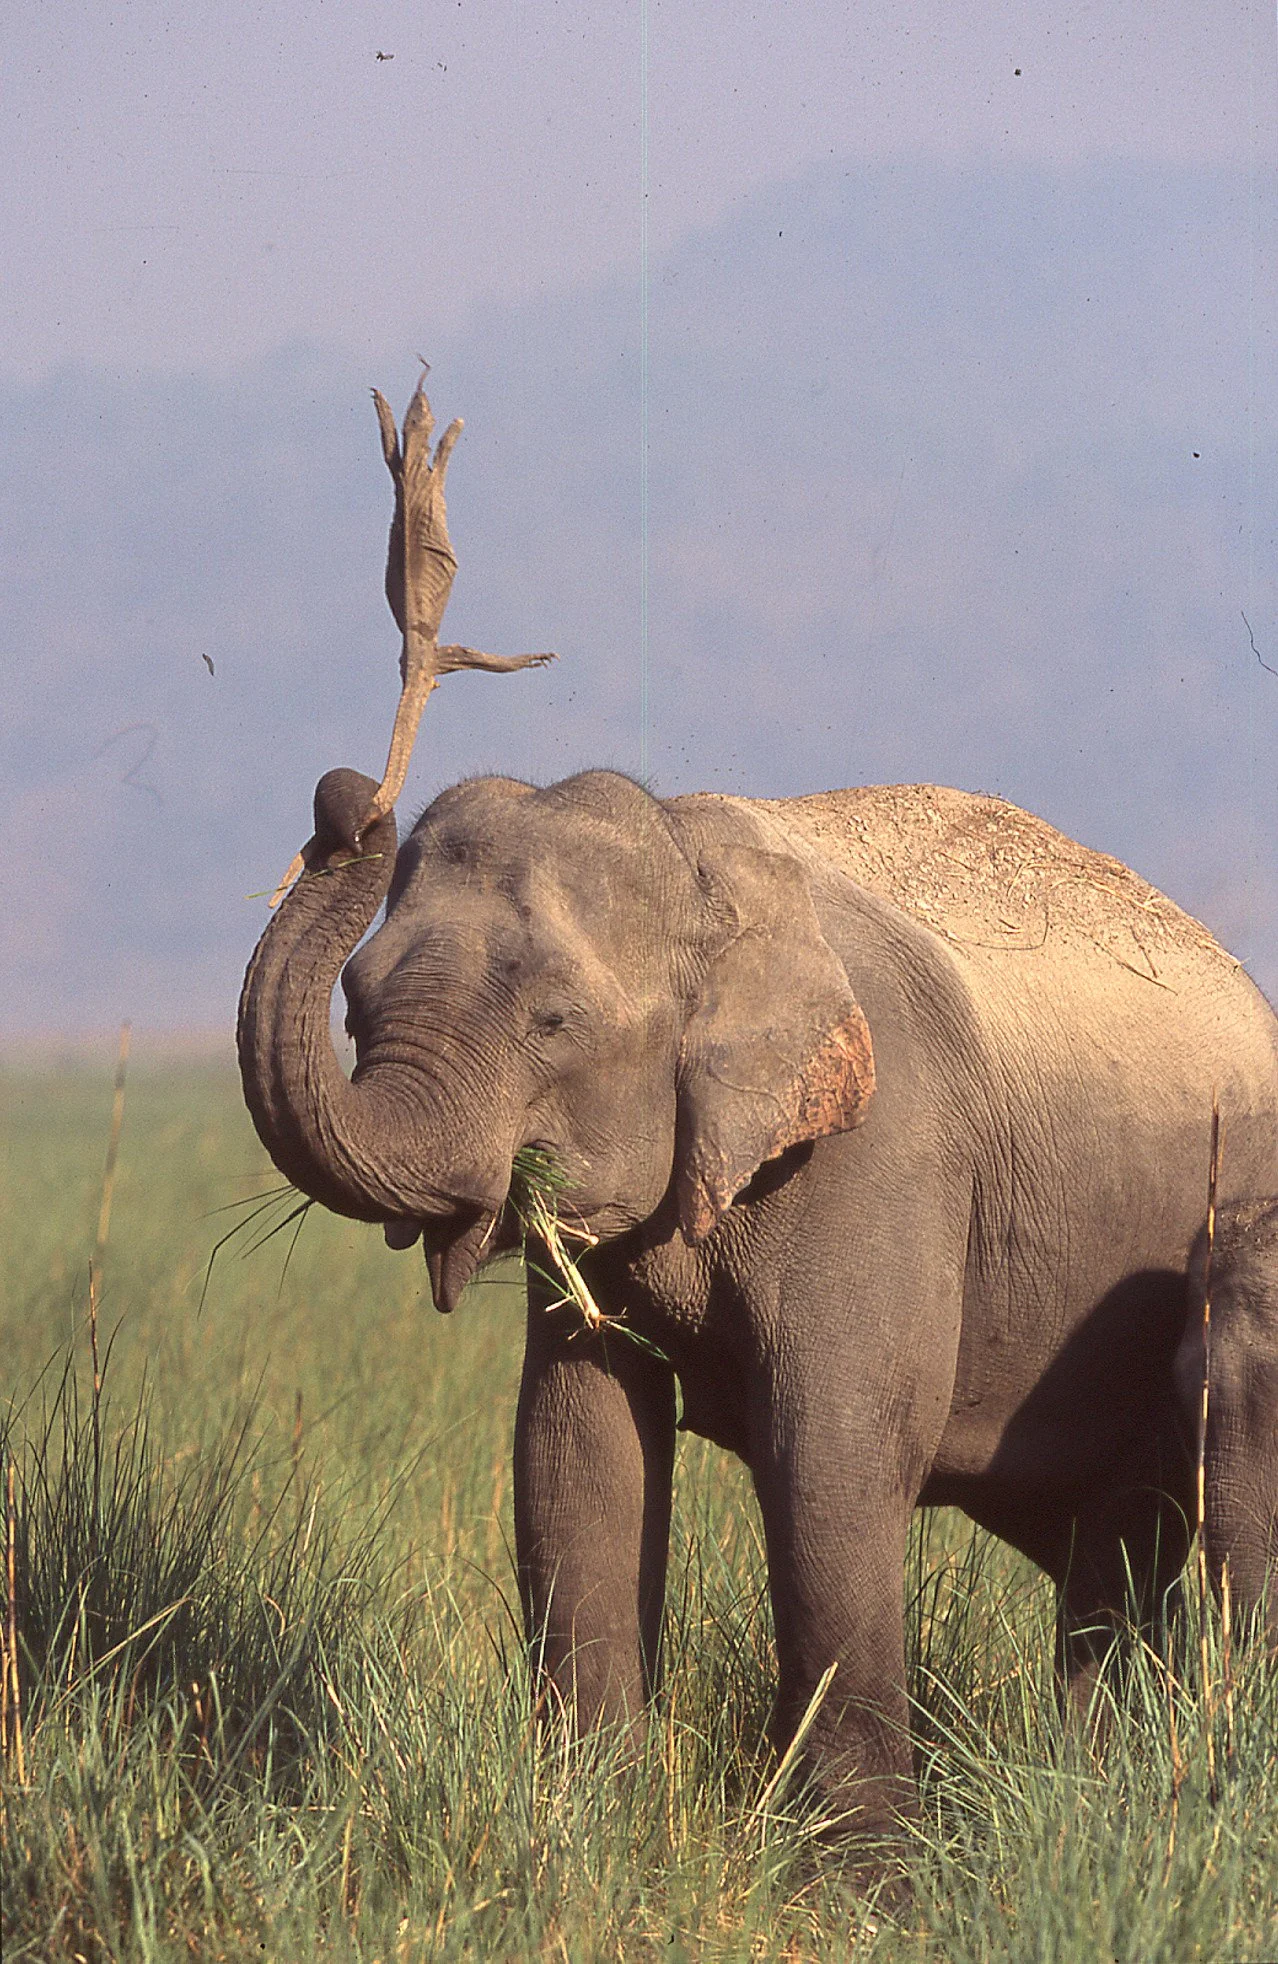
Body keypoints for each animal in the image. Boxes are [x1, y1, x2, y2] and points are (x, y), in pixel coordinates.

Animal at [238, 758, 1278, 1852]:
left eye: (554, 1020)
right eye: (355, 1006)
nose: (347, 800)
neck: (695, 864)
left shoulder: (878, 1150)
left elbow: (832, 1451)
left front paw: (867, 1874)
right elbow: (576, 1447)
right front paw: (590, 1835)